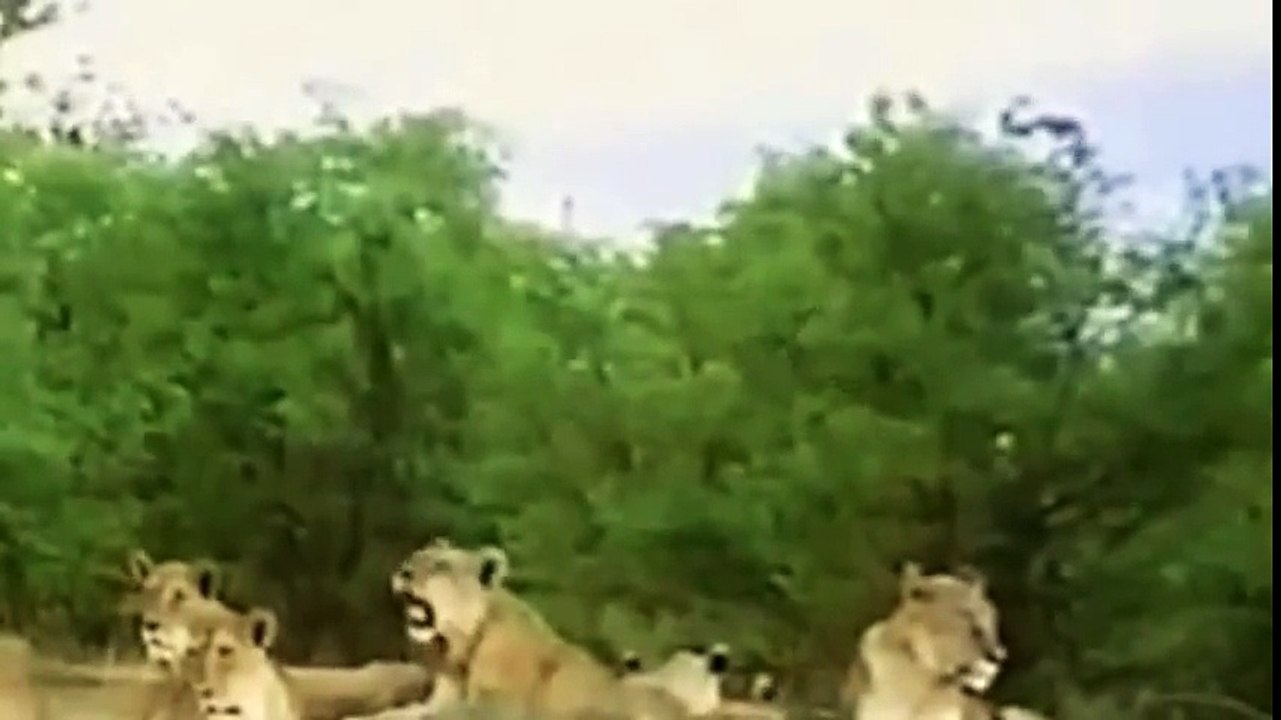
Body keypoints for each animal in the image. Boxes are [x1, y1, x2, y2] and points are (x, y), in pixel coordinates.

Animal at [391, 540, 691, 720]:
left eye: (441, 566)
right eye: (415, 556)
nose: (403, 572)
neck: (462, 645)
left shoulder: (502, 706)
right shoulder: (441, 698)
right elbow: (409, 712)